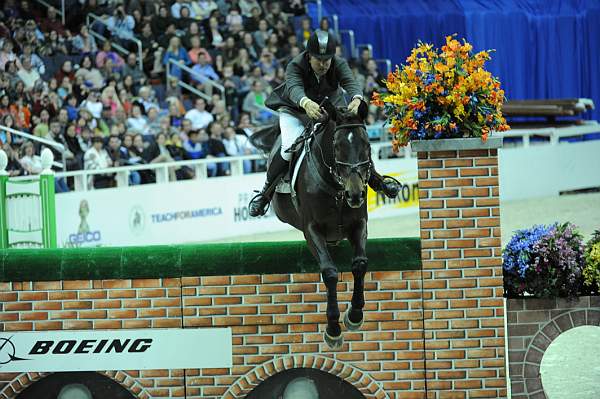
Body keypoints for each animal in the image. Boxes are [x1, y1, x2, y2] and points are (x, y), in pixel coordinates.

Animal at [251, 101, 372, 350]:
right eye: (337, 146)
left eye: (367, 144)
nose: (355, 194)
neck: (337, 188)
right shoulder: (312, 230)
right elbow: (330, 273)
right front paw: (333, 329)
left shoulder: (359, 224)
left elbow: (359, 264)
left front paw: (355, 315)